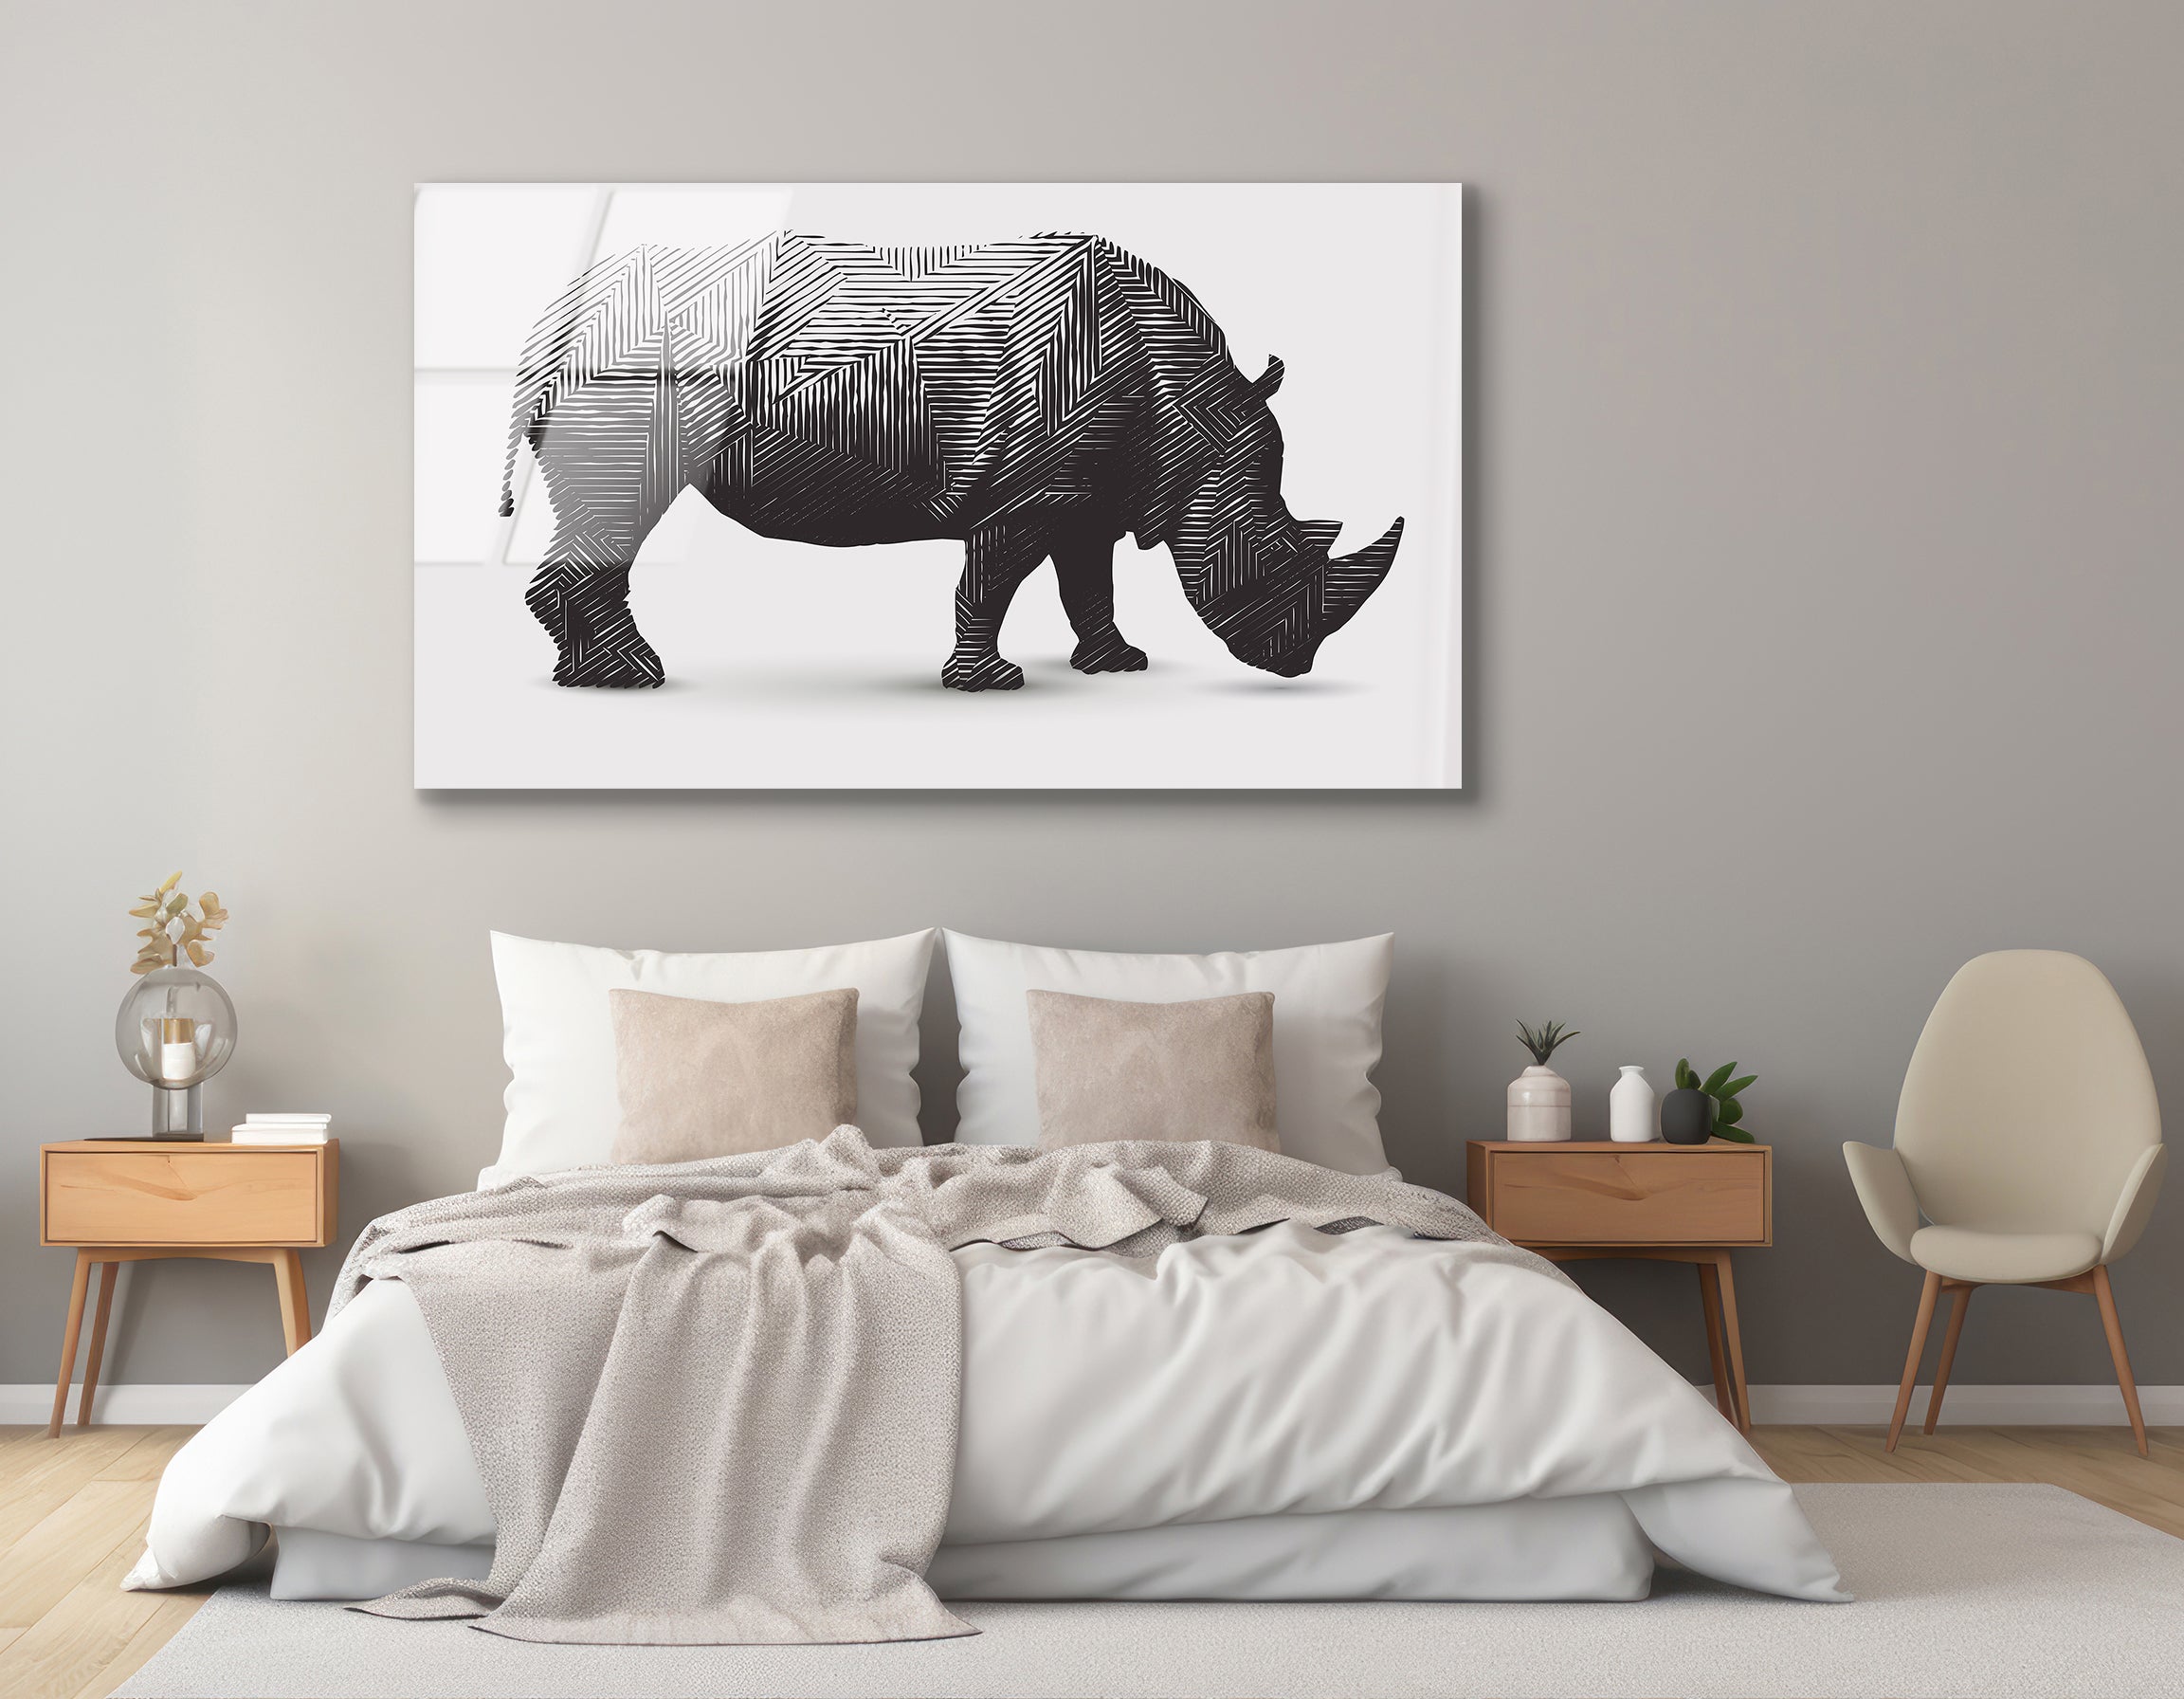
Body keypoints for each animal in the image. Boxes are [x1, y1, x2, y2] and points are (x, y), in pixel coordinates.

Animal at [499, 231, 1402, 691]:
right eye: (1276, 558)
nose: (1295, 664)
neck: (1195, 418)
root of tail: (561, 311)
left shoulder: (1088, 493)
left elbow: (1089, 581)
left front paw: (1118, 665)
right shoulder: (1030, 494)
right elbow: (990, 582)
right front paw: (990, 682)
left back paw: (581, 677)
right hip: (635, 371)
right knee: (624, 506)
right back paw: (634, 677)